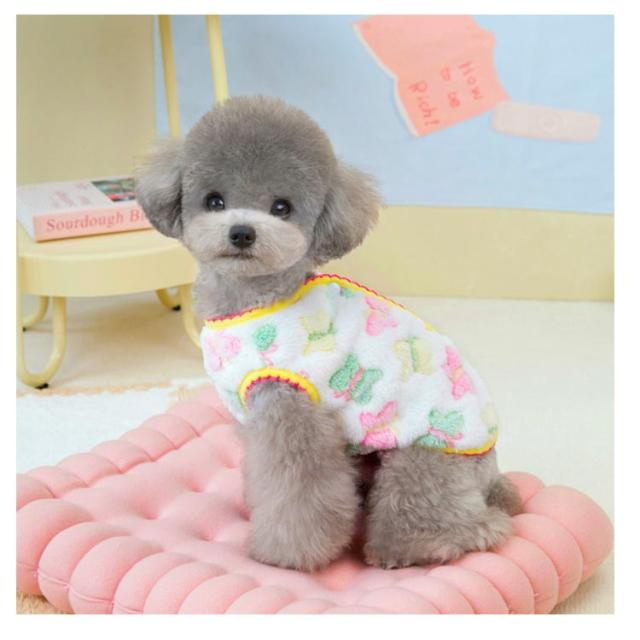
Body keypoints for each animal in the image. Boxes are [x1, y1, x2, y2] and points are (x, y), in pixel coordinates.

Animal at [135, 96, 521, 571]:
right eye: (214, 200)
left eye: (281, 207)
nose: (242, 233)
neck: (258, 301)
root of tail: (491, 468)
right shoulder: (254, 417)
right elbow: (263, 477)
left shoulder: (291, 409)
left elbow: (299, 488)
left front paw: (284, 553)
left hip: (425, 460)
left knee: (463, 523)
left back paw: (411, 548)